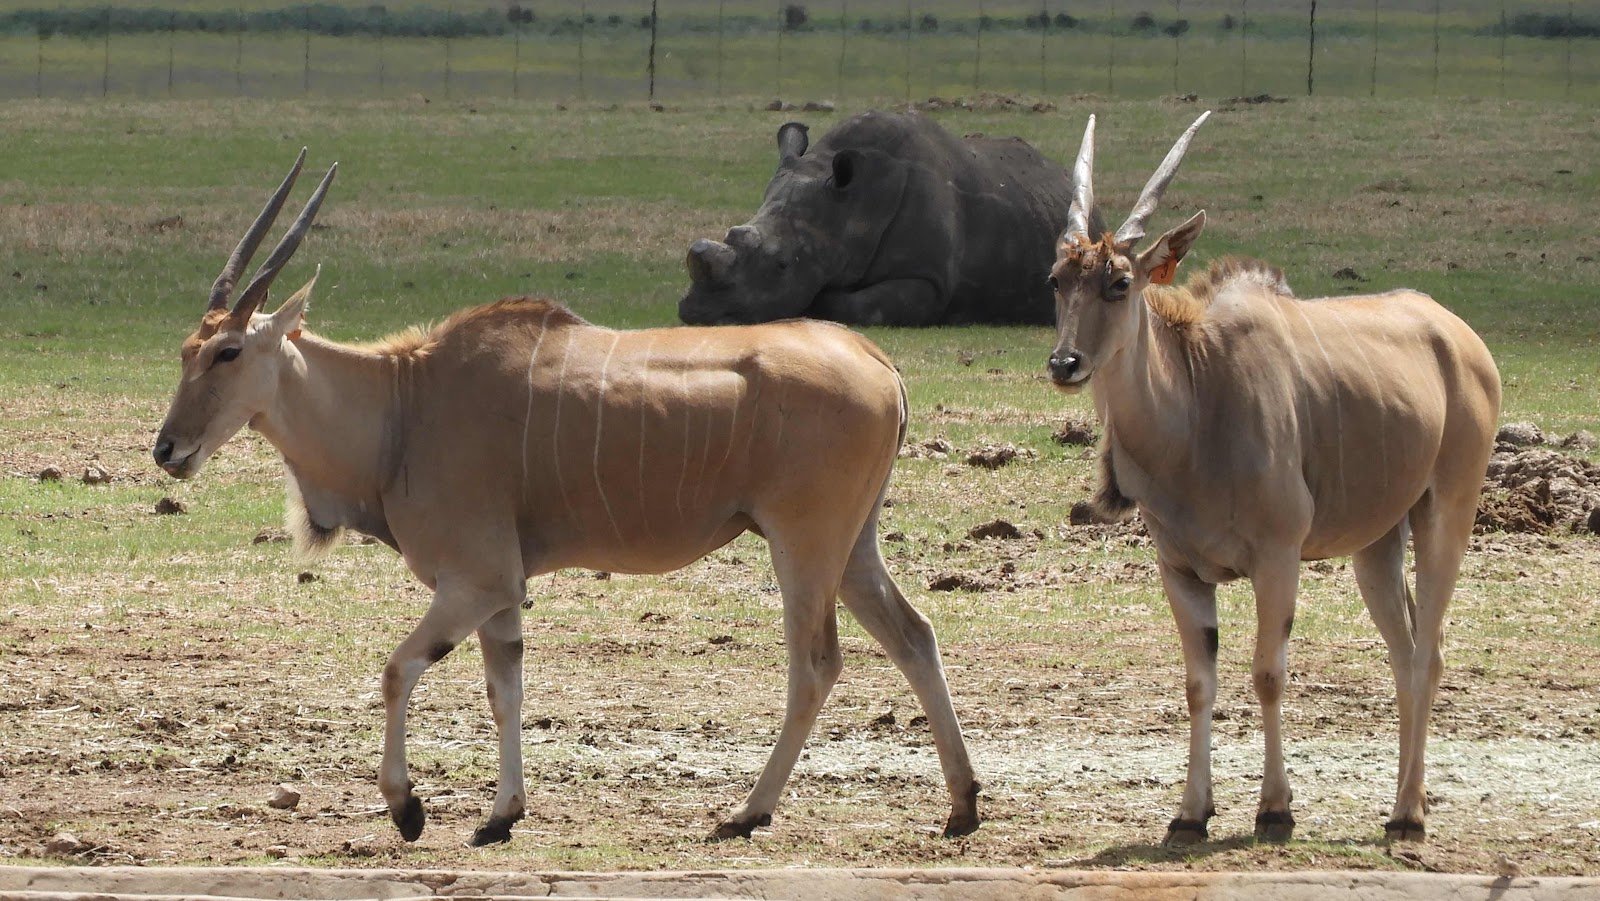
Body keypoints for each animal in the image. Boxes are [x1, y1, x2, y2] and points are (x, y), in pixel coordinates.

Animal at [152, 148, 972, 844]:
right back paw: (962, 804)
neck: (402, 402)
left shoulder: (476, 579)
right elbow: (504, 688)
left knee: (817, 662)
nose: (167, 449)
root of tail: (876, 361)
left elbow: (398, 669)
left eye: (228, 352)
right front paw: (501, 813)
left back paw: (747, 811)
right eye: (188, 351)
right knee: (913, 635)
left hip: (804, 545)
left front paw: (408, 806)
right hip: (851, 547)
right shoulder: (500, 593)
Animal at [1049, 114, 1497, 844]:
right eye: (1057, 279)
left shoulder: (1279, 557)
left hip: (1446, 516)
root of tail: (1462, 337)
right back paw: (1401, 804)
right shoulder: (1181, 570)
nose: (1065, 363)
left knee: (1428, 651)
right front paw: (1190, 812)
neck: (1200, 395)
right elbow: (1198, 683)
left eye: (1119, 282)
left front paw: (1275, 808)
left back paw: (1409, 813)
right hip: (1377, 544)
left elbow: (1267, 673)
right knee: (1404, 652)